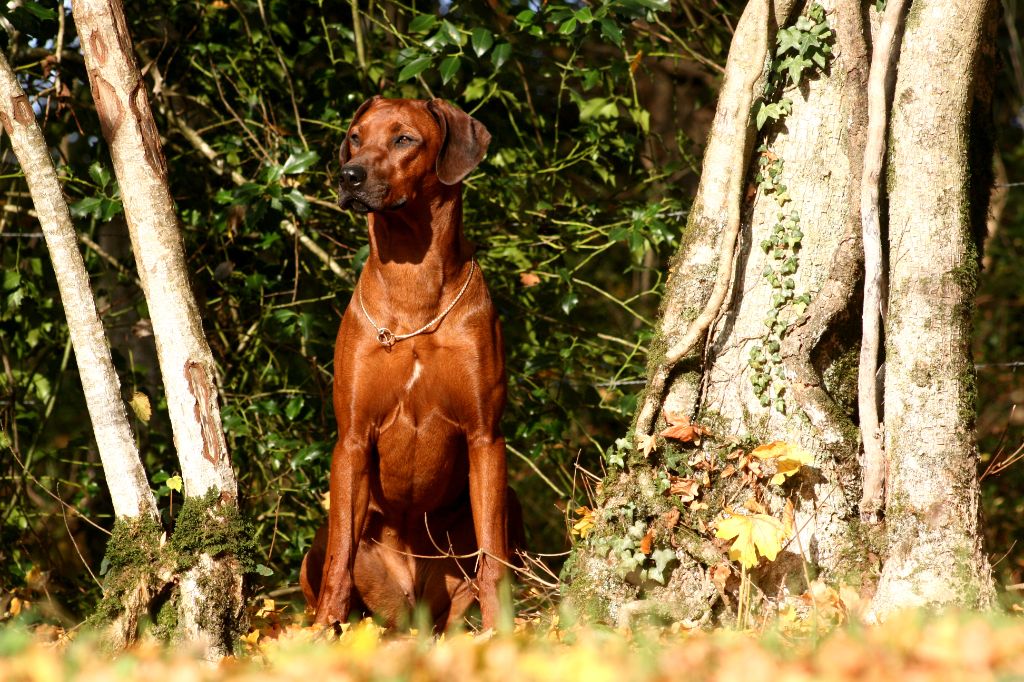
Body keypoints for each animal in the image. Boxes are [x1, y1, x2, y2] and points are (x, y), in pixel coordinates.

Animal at [296, 94, 520, 626]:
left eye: (404, 139)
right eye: (355, 137)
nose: (348, 175)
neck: (412, 287)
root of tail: (411, 612)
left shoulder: (486, 435)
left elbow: (493, 557)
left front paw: (505, 632)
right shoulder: (352, 439)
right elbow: (339, 559)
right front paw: (323, 631)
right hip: (324, 543)